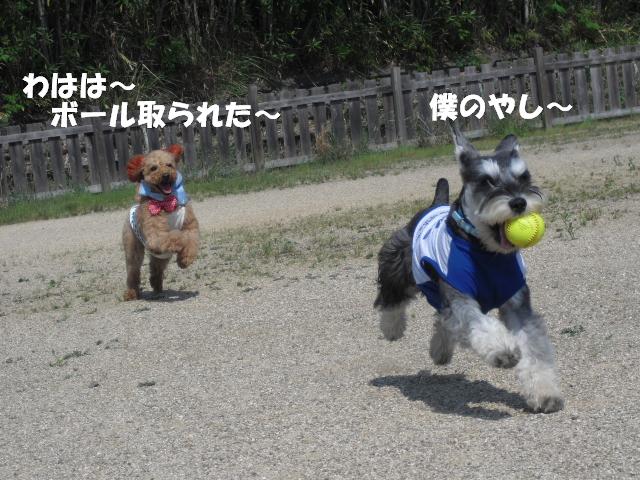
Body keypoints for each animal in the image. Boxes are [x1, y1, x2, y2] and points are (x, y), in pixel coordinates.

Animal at [122, 144, 199, 300]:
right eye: (153, 168)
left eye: (169, 165)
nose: (166, 175)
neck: (166, 202)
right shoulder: (156, 237)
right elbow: (178, 236)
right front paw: (181, 247)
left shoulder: (190, 226)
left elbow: (191, 239)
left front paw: (185, 260)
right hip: (134, 250)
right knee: (133, 272)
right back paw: (131, 293)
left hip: (162, 256)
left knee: (155, 268)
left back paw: (157, 286)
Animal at [374, 124, 564, 413]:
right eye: (487, 181)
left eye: (524, 176)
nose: (519, 202)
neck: (486, 252)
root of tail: (434, 204)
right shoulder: (461, 297)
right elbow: (478, 323)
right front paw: (503, 350)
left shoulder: (517, 304)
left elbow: (534, 347)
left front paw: (545, 393)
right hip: (398, 265)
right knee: (392, 299)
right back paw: (392, 329)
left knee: (442, 319)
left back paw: (439, 350)